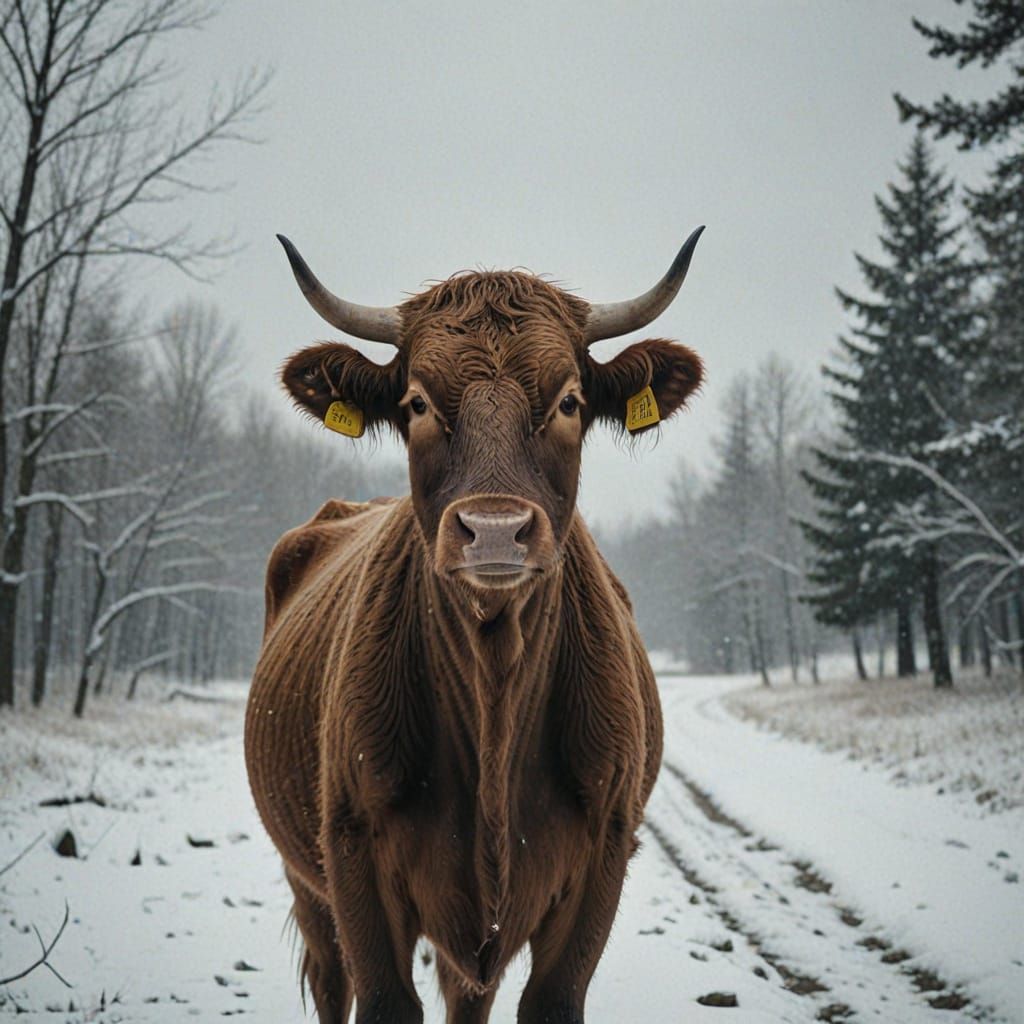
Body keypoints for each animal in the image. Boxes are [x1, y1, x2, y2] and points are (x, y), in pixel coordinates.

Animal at [245, 227, 705, 1024]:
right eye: (417, 402)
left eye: (570, 400)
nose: (494, 531)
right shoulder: (353, 855)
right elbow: (384, 999)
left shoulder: (603, 854)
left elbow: (548, 999)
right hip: (307, 881)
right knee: (331, 980)